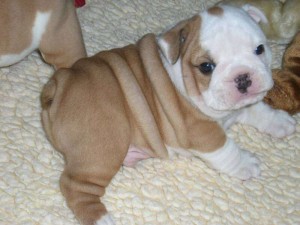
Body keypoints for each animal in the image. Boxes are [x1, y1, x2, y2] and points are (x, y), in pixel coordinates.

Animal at [41, 3, 296, 225]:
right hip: (103, 147)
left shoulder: (243, 104)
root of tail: (59, 84)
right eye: (206, 67)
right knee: (75, 186)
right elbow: (226, 148)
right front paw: (245, 163)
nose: (242, 77)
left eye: (259, 49)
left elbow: (259, 109)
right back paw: (101, 219)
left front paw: (280, 121)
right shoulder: (200, 130)